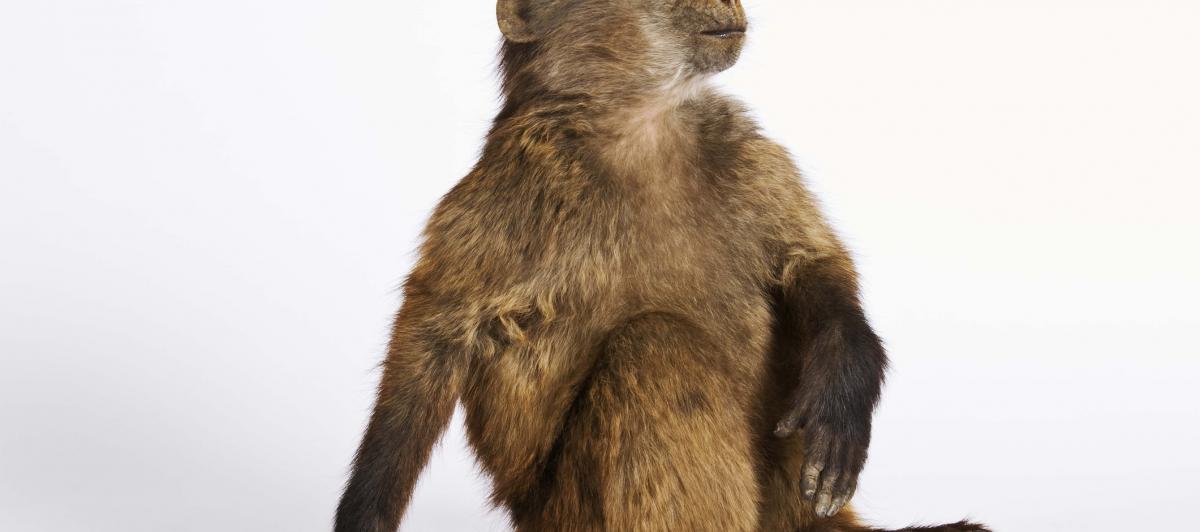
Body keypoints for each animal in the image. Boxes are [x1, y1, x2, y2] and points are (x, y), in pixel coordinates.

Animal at [335, 1, 990, 531]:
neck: (636, 125)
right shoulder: (510, 184)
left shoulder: (741, 140)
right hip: (567, 514)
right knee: (655, 349)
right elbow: (434, 336)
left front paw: (845, 376)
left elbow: (810, 259)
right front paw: (364, 512)